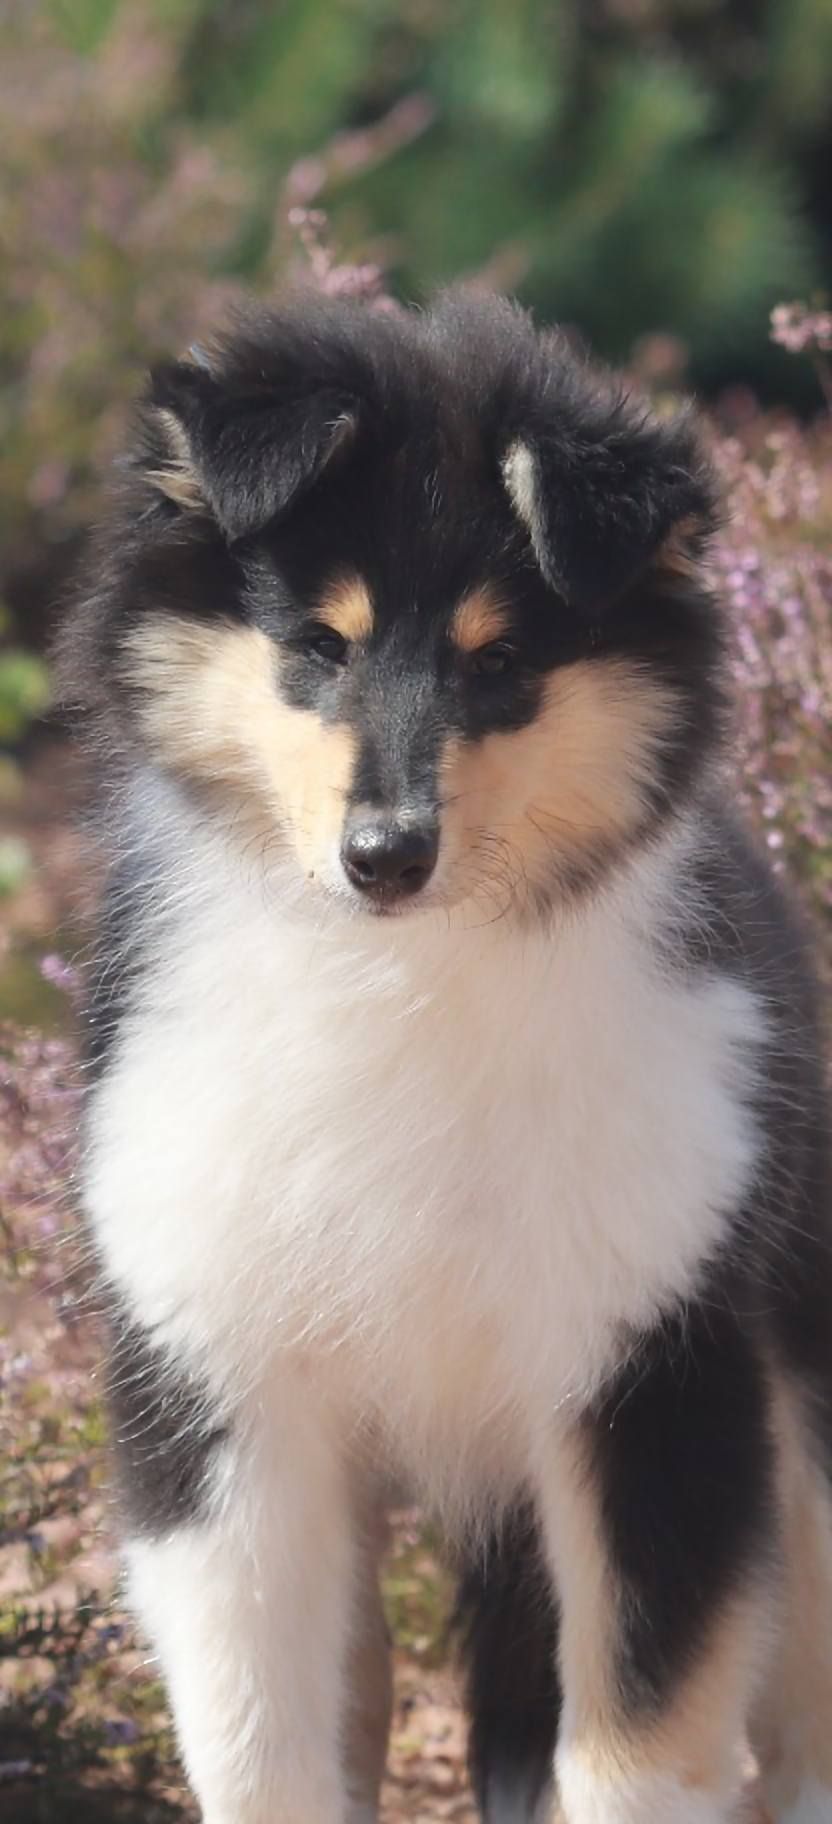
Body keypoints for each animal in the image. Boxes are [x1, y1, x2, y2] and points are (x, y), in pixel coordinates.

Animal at [58, 289, 832, 1824]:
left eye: (501, 663)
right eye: (318, 643)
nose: (385, 857)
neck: (399, 976)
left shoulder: (654, 1376)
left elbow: (638, 1745)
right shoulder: (222, 1393)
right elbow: (263, 1741)